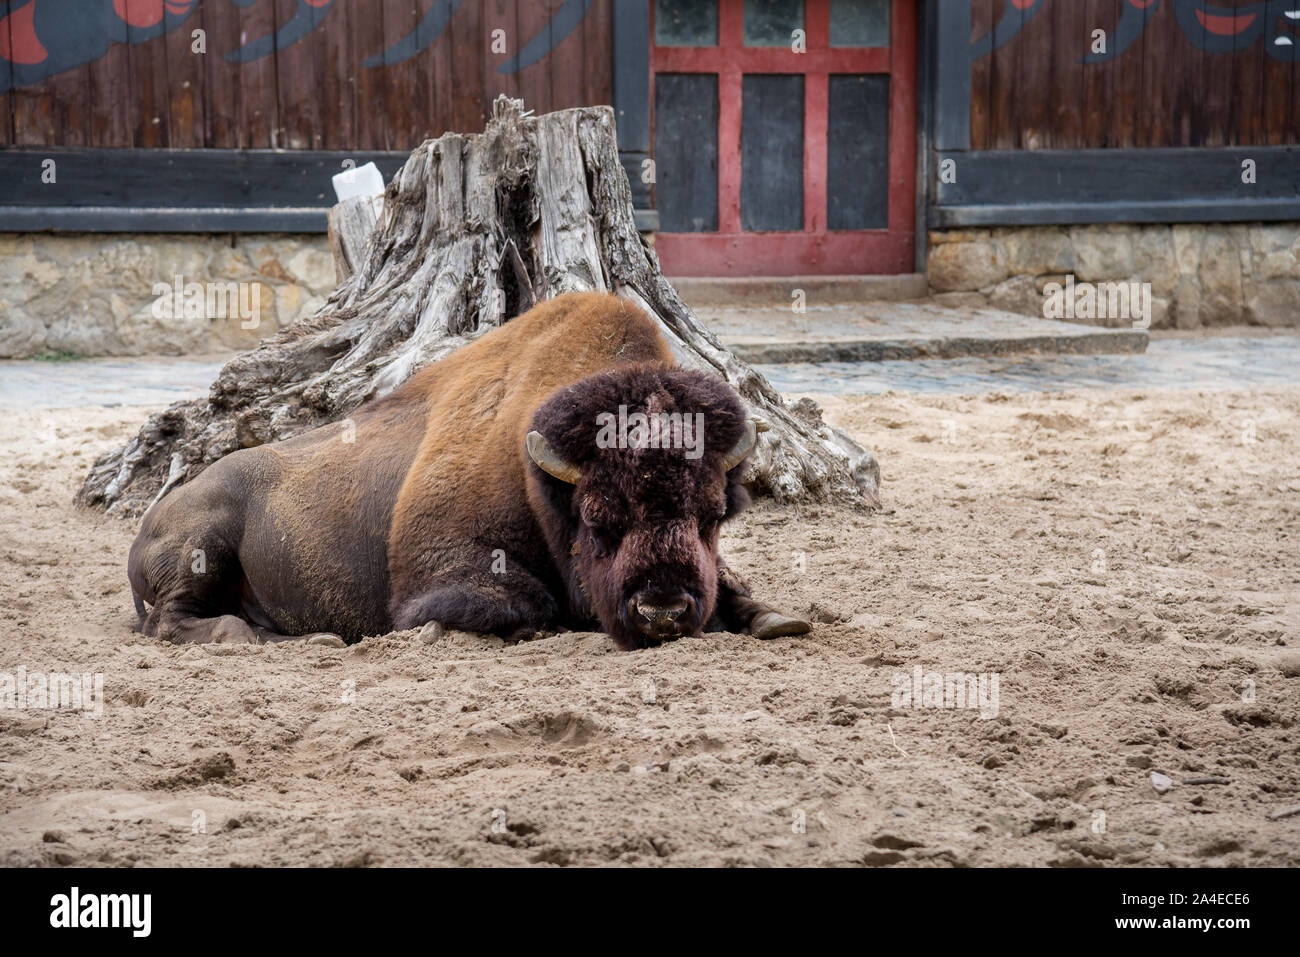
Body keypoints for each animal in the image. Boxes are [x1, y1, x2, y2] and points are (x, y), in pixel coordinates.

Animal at [128, 292, 811, 650]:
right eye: (597, 519)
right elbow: (521, 600)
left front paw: (776, 618)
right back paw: (260, 637)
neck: (538, 478)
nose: (662, 610)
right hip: (204, 542)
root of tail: (149, 522)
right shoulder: (452, 561)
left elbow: (736, 586)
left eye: (713, 516)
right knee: (171, 620)